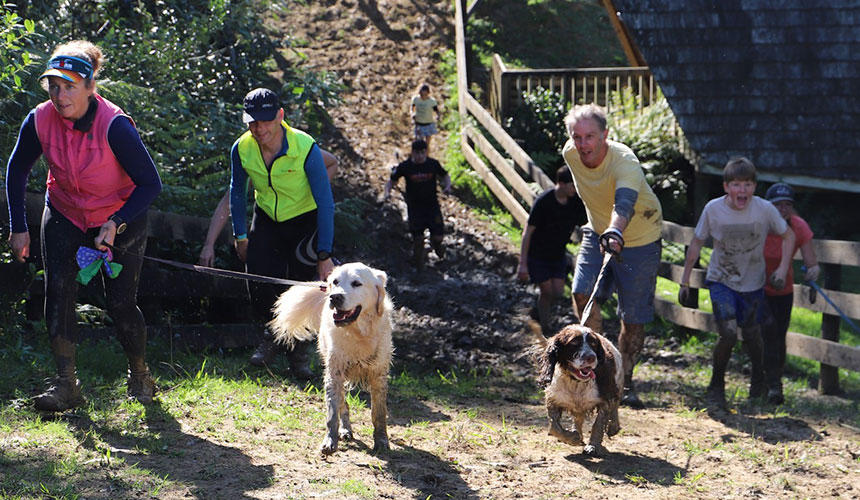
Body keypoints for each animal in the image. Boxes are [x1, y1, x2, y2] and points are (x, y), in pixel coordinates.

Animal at [268, 264, 394, 456]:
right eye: (335, 282)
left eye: (357, 283)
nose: (335, 297)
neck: (358, 333)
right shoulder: (334, 375)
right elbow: (333, 412)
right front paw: (330, 441)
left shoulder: (378, 376)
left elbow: (378, 413)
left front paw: (381, 440)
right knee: (343, 405)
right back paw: (345, 430)